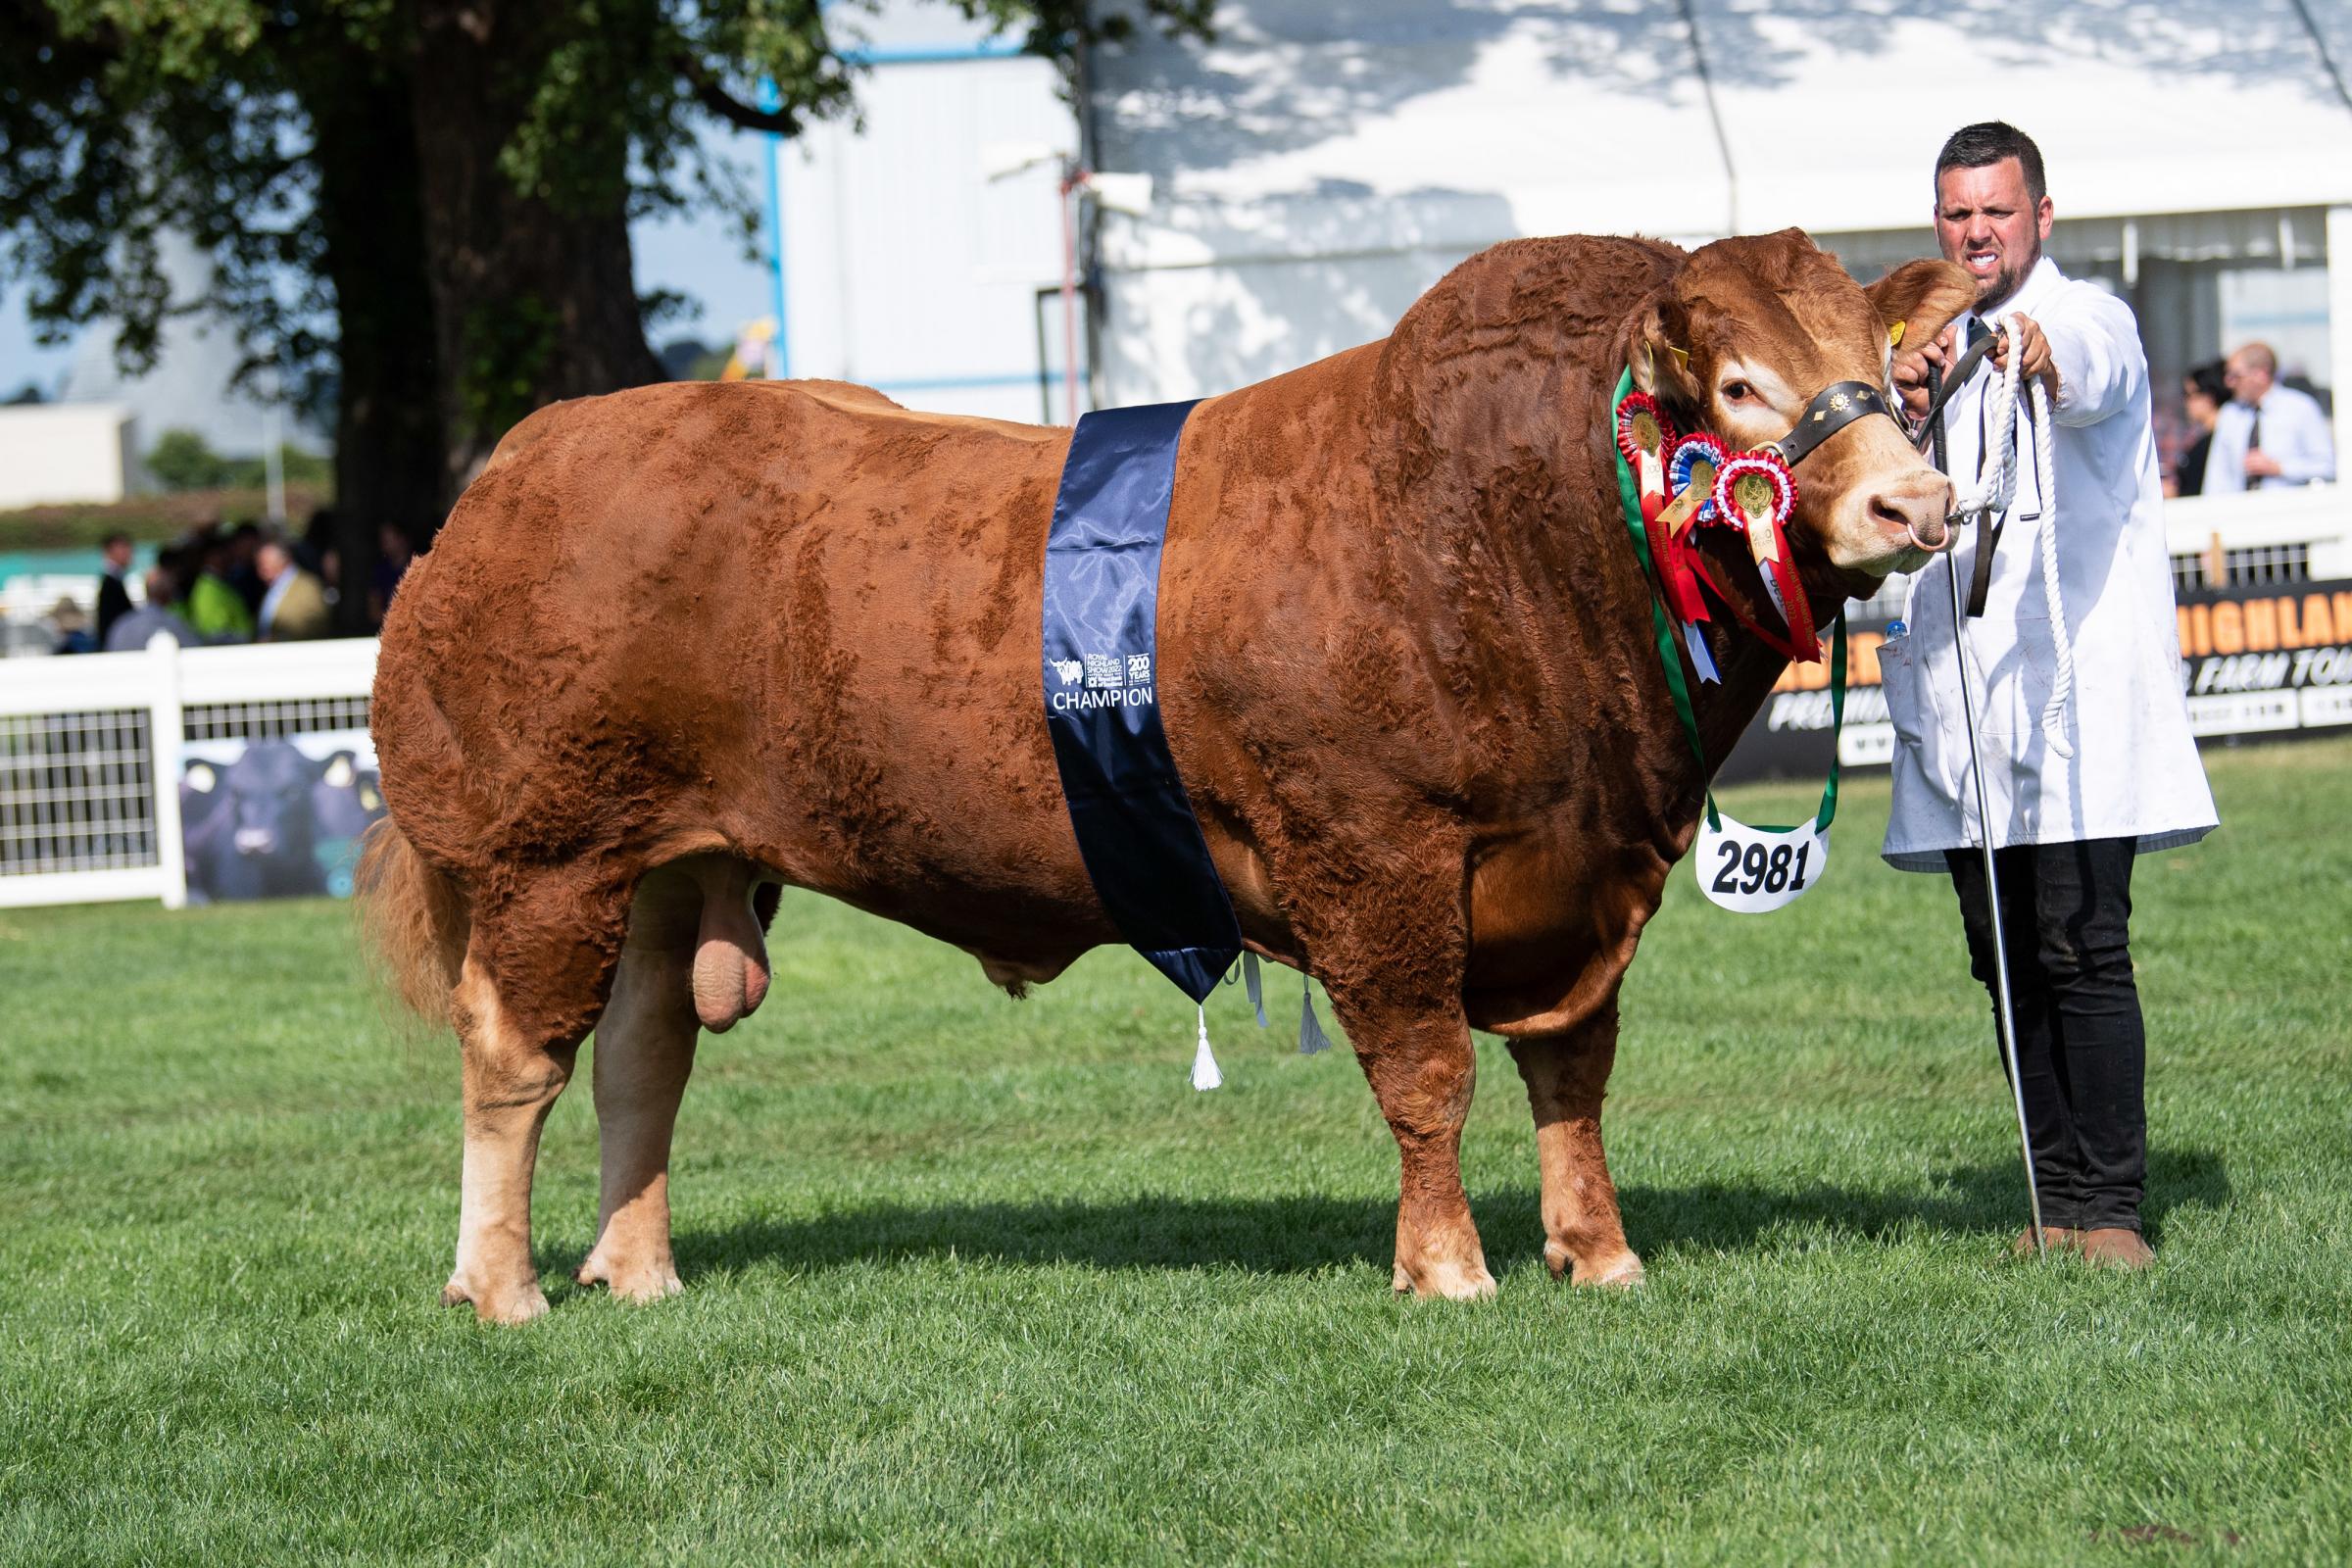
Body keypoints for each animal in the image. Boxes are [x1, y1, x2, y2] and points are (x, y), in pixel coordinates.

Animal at [367, 226, 1976, 1316]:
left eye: (1885, 371)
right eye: (1744, 386)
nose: (1919, 501)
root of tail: (520, 467)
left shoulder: (1586, 870)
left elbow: (1570, 1068)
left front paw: (1600, 1252)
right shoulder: (1372, 854)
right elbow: (1429, 1072)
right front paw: (1448, 1268)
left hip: (676, 857)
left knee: (644, 1052)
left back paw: (635, 1271)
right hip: (548, 854)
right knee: (515, 1058)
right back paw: (500, 1286)